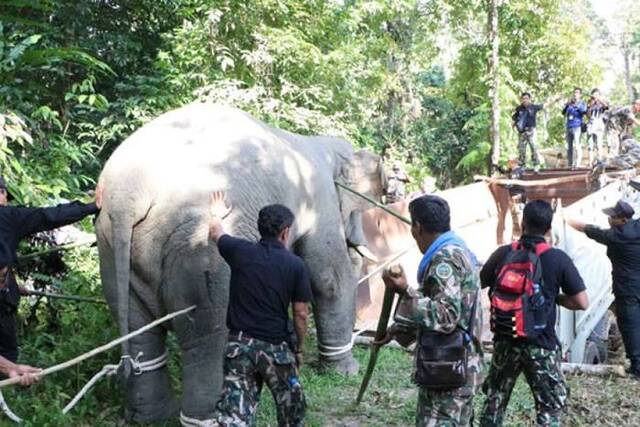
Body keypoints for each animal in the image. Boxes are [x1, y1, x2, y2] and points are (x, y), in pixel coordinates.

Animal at [94, 104, 384, 424]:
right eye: (359, 209)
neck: (319, 144)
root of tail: (126, 196)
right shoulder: (321, 200)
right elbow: (328, 279)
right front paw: (346, 371)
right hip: (196, 249)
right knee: (208, 331)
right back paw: (207, 418)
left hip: (110, 246)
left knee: (138, 329)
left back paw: (152, 418)